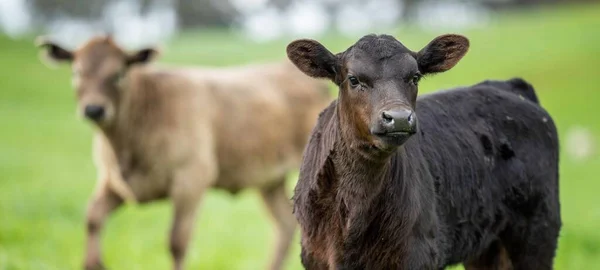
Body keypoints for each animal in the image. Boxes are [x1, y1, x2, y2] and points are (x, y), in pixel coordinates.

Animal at [37, 35, 330, 270]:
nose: (94, 109)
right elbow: (93, 217)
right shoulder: (114, 181)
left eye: (118, 73)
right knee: (285, 224)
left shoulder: (191, 180)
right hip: (269, 180)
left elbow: (177, 241)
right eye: (76, 72)